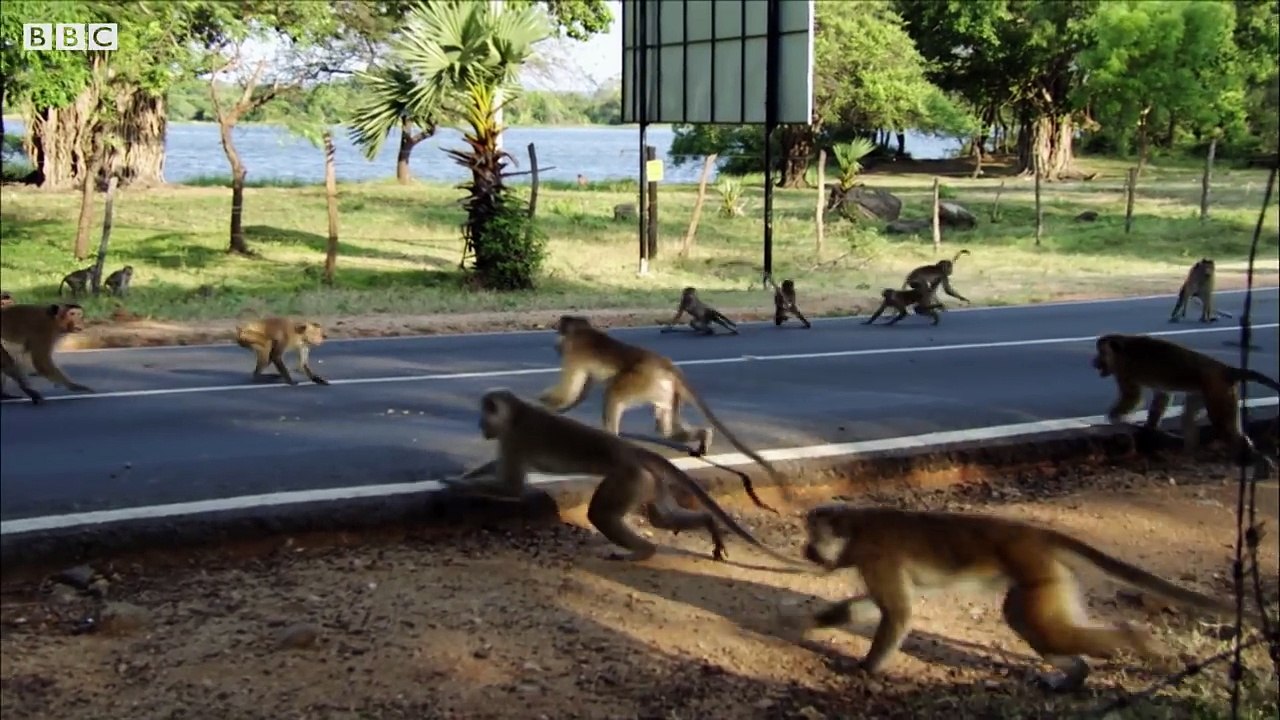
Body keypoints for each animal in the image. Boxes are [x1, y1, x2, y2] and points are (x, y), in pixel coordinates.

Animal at [443, 389, 807, 568]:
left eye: (484, 415)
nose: (479, 425)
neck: (515, 414)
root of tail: (634, 451)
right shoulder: (508, 438)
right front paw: (460, 476)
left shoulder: (515, 438)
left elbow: (512, 487)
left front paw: (458, 486)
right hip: (650, 482)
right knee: (662, 518)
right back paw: (709, 527)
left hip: (628, 477)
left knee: (602, 515)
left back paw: (643, 552)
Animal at [539, 315, 789, 511]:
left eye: (558, 331)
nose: (554, 346)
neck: (581, 329)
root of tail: (667, 366)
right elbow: (577, 394)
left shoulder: (574, 352)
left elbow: (570, 390)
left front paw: (543, 405)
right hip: (664, 391)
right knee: (667, 429)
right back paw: (704, 435)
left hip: (642, 381)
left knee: (614, 394)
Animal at [780, 504, 1258, 692]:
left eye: (812, 537)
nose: (804, 549)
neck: (856, 529)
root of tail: (1035, 535)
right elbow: (883, 606)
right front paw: (826, 618)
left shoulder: (875, 554)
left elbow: (899, 612)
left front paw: (866, 668)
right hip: (1053, 578)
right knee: (1034, 624)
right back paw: (1076, 675)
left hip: (1038, 574)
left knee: (1033, 621)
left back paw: (1136, 643)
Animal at [1092, 333, 1280, 476]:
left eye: (1100, 354)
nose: (1094, 362)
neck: (1122, 348)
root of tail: (1225, 369)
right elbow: (1162, 394)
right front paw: (1150, 426)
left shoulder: (1125, 370)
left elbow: (1133, 396)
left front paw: (1115, 416)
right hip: (1207, 390)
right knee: (1189, 417)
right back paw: (1189, 454)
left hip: (1217, 387)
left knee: (1225, 427)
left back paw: (1256, 458)